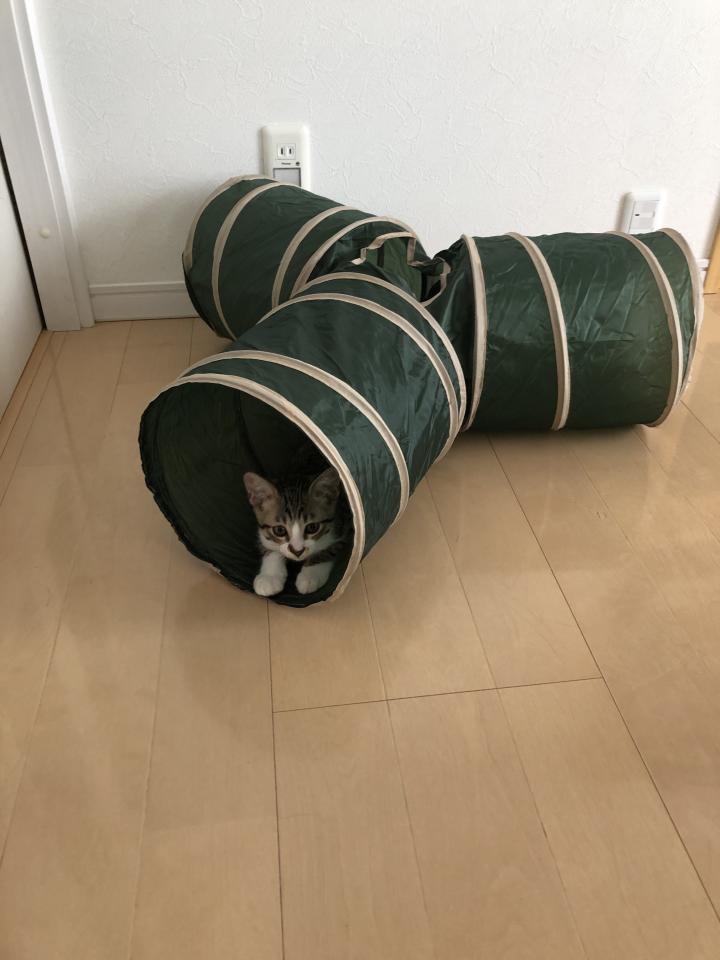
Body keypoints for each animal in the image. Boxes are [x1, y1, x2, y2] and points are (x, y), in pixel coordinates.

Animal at [243, 467, 345, 597]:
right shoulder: (263, 535)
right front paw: (269, 576)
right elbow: (271, 548)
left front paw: (310, 575)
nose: (298, 551)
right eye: (279, 530)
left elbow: (328, 550)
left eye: (312, 527)